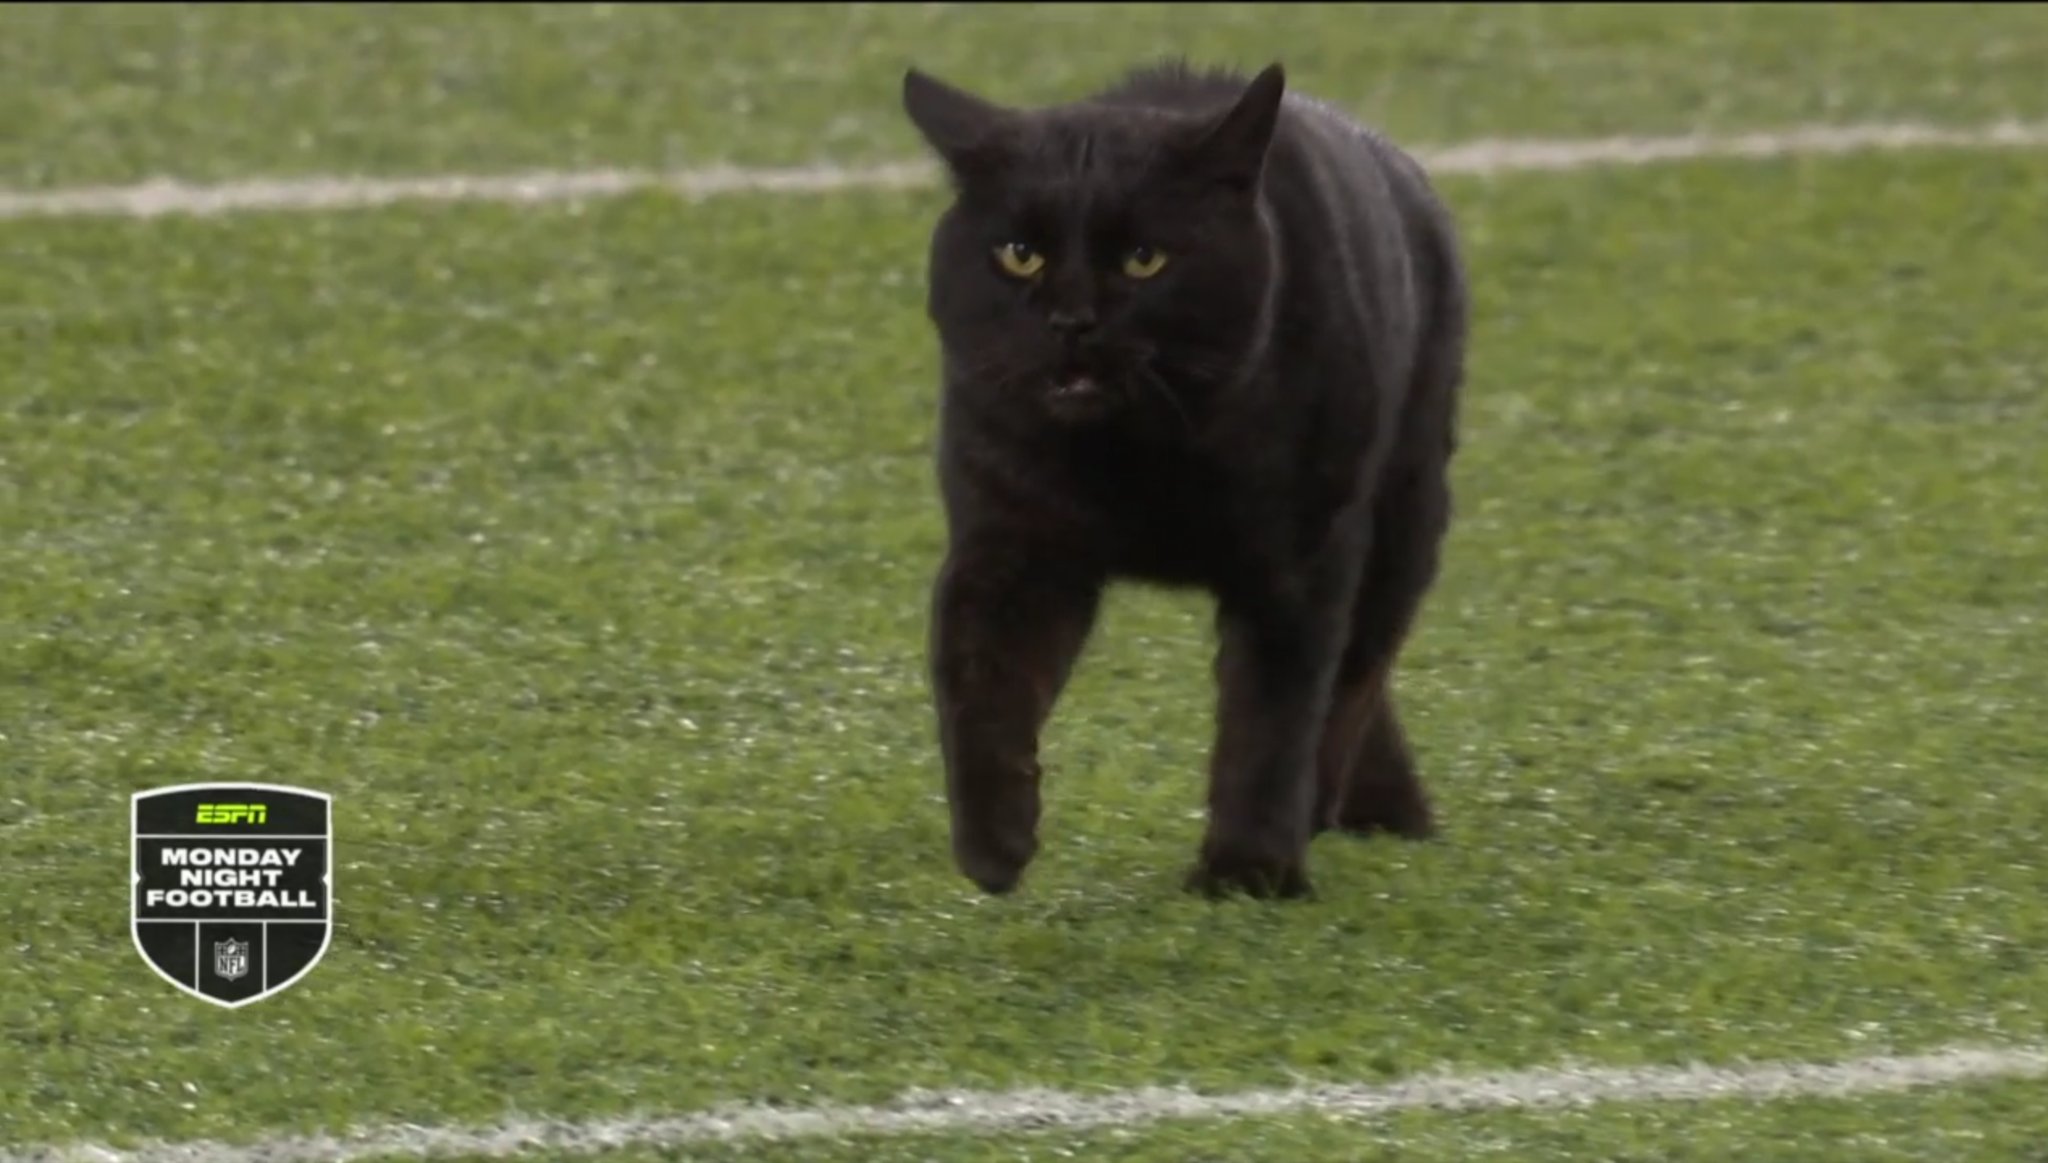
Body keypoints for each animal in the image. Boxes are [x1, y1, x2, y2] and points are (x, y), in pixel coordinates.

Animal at [901, 59, 1468, 900]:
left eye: (1145, 258)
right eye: (1019, 253)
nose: (1072, 319)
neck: (1143, 458)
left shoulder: (1298, 563)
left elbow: (1272, 718)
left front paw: (1247, 873)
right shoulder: (1007, 543)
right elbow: (977, 681)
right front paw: (994, 844)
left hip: (1405, 516)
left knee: (1356, 676)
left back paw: (1336, 809)